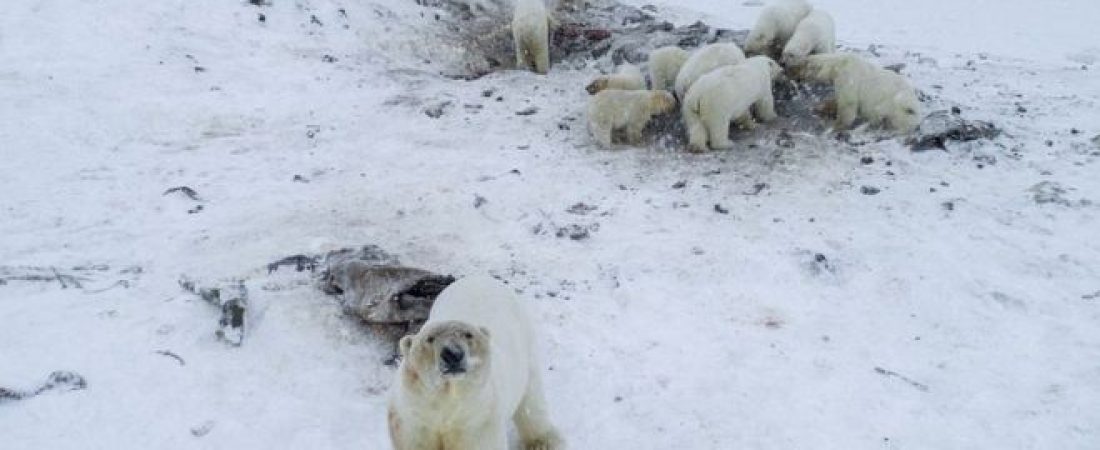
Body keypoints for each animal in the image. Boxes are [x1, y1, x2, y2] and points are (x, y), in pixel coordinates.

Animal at [388, 276, 563, 450]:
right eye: (430, 338)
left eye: (468, 334)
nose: (453, 354)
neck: (446, 401)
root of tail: (480, 277)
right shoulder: (413, 419)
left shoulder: (477, 421)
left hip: (525, 347)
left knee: (531, 398)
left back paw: (543, 442)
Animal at [791, 53, 921, 133]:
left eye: (800, 66)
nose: (791, 70)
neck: (839, 64)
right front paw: (820, 108)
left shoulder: (848, 77)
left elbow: (847, 104)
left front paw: (836, 125)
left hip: (898, 106)